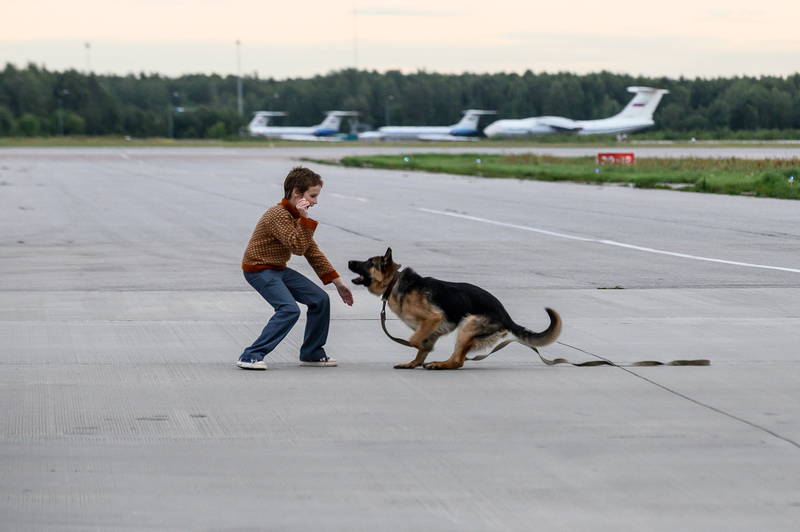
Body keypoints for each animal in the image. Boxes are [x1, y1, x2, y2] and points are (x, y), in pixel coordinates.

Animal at [348, 248, 564, 370]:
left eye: (369, 262)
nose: (349, 261)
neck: (394, 282)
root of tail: (506, 316)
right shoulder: (432, 329)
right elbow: (422, 347)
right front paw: (413, 363)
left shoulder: (432, 319)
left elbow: (415, 341)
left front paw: (417, 350)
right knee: (458, 359)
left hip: (468, 324)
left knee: (457, 361)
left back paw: (440, 365)